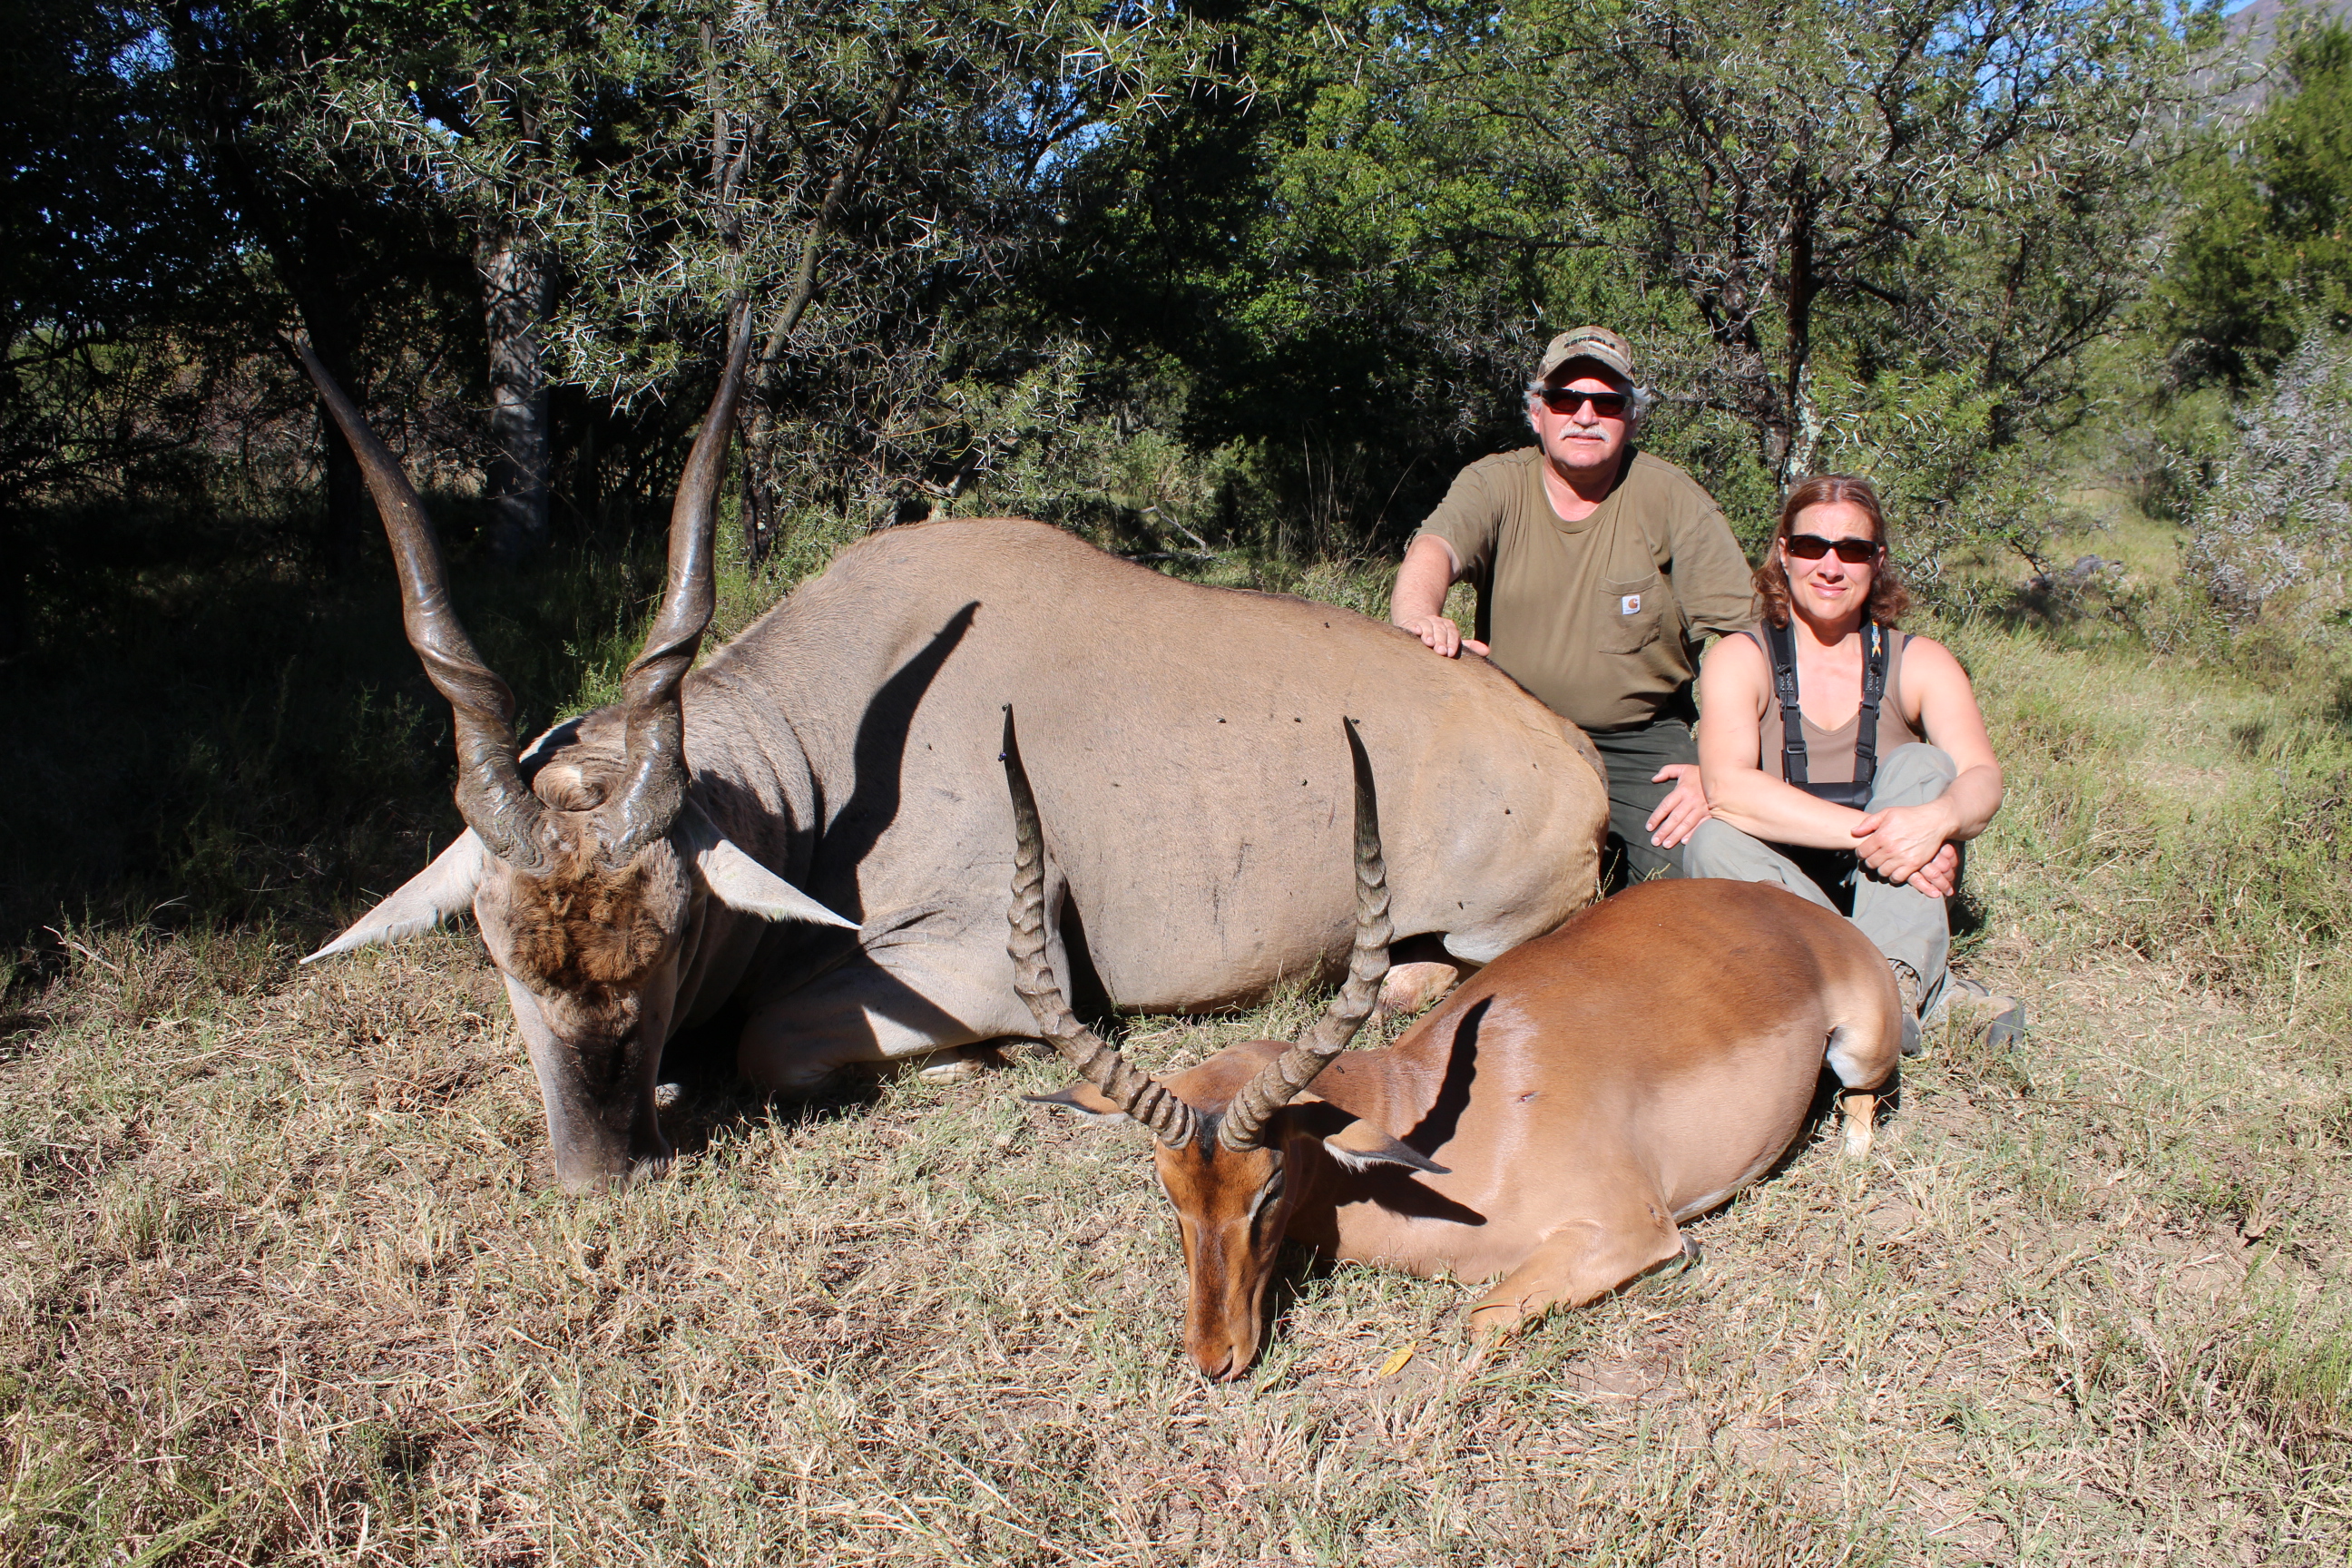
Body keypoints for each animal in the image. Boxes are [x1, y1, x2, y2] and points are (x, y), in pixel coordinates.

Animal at [289, 312, 1618, 1189]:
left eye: (671, 938)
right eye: (503, 953)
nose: (600, 1168)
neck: (824, 769)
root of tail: (1572, 754)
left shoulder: (974, 963)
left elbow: (776, 1043)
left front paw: (959, 1070)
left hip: (1487, 924)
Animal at [1002, 719, 1900, 1382]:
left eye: (1271, 1184)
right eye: (1169, 1191)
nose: (1213, 1360)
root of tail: (1799, 916)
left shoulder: (1632, 1228)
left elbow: (1479, 1319)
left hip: (1862, 1050)